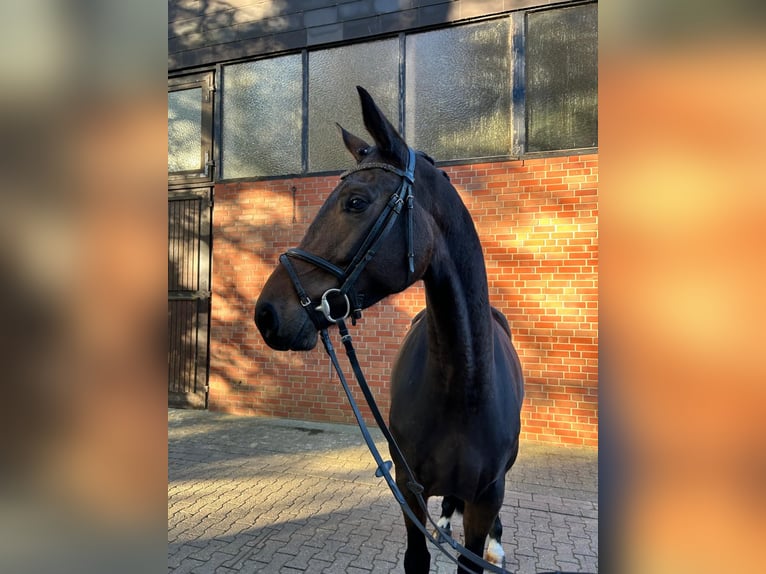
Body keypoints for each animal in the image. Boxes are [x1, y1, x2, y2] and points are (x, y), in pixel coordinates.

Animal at [255, 88, 524, 572]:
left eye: (356, 202)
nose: (266, 313)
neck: (464, 389)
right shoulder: (409, 489)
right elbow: (417, 556)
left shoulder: (486, 497)